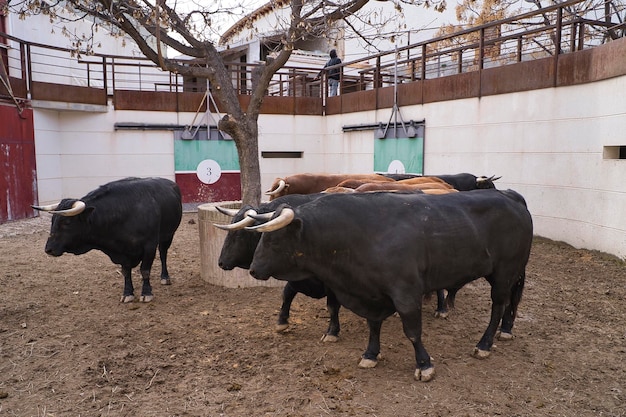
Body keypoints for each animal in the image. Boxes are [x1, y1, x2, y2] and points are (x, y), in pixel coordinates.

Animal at [33, 176, 182, 302]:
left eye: (66, 223)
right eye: (52, 220)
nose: (48, 249)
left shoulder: (149, 245)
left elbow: (145, 270)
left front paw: (146, 293)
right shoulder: (123, 251)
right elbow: (126, 272)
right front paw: (127, 293)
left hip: (168, 235)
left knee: (163, 254)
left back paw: (165, 277)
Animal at [247, 188, 532, 380]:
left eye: (273, 240)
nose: (253, 269)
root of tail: (510, 195)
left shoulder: (406, 292)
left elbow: (413, 331)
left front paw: (424, 365)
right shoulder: (372, 293)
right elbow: (373, 325)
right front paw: (371, 354)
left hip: (505, 271)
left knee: (498, 305)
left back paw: (484, 344)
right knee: (510, 303)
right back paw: (505, 330)